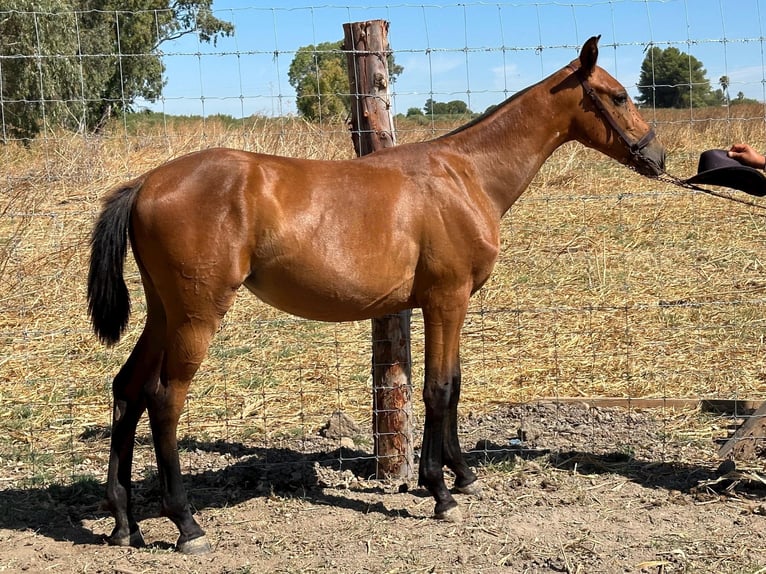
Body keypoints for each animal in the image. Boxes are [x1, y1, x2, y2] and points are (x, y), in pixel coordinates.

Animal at [88, 37, 664, 560]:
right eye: (617, 96)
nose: (658, 156)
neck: (465, 174)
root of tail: (145, 184)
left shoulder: (441, 304)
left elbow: (452, 386)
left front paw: (463, 476)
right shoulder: (447, 300)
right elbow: (438, 389)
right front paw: (440, 491)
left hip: (164, 314)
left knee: (128, 389)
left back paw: (123, 523)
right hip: (196, 316)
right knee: (164, 401)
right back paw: (187, 525)